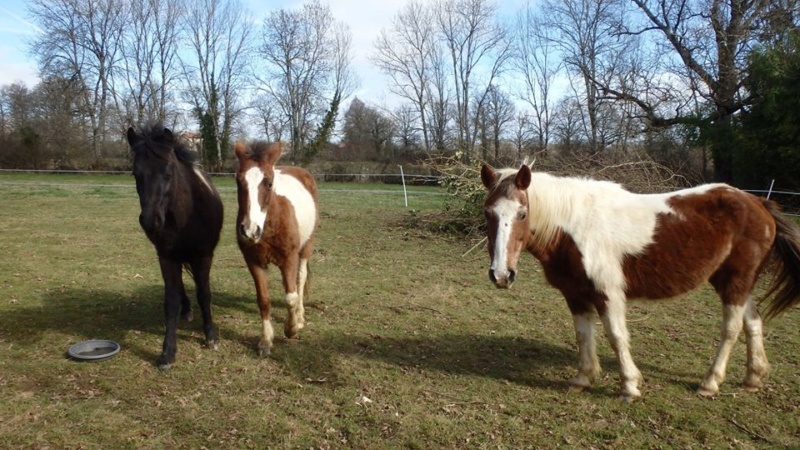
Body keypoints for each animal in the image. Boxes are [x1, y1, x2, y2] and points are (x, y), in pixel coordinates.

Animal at [126, 125, 223, 370]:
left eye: (168, 171)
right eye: (135, 174)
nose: (151, 221)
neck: (187, 215)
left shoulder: (204, 256)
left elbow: (204, 294)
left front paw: (210, 336)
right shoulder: (167, 257)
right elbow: (171, 302)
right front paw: (167, 352)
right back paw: (186, 310)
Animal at [233, 141, 318, 356]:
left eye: (270, 183)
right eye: (238, 181)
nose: (250, 230)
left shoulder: (289, 259)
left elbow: (290, 298)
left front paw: (291, 329)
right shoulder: (253, 261)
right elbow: (263, 299)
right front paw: (266, 341)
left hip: (306, 247)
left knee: (301, 278)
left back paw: (300, 317)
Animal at [482, 163, 800, 402]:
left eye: (522, 213)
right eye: (488, 212)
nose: (502, 274)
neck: (573, 229)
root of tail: (758, 202)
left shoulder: (607, 293)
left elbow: (616, 336)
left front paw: (629, 387)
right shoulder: (575, 294)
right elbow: (583, 335)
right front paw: (583, 379)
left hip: (735, 282)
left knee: (731, 330)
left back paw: (709, 383)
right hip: (736, 282)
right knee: (753, 323)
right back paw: (753, 378)